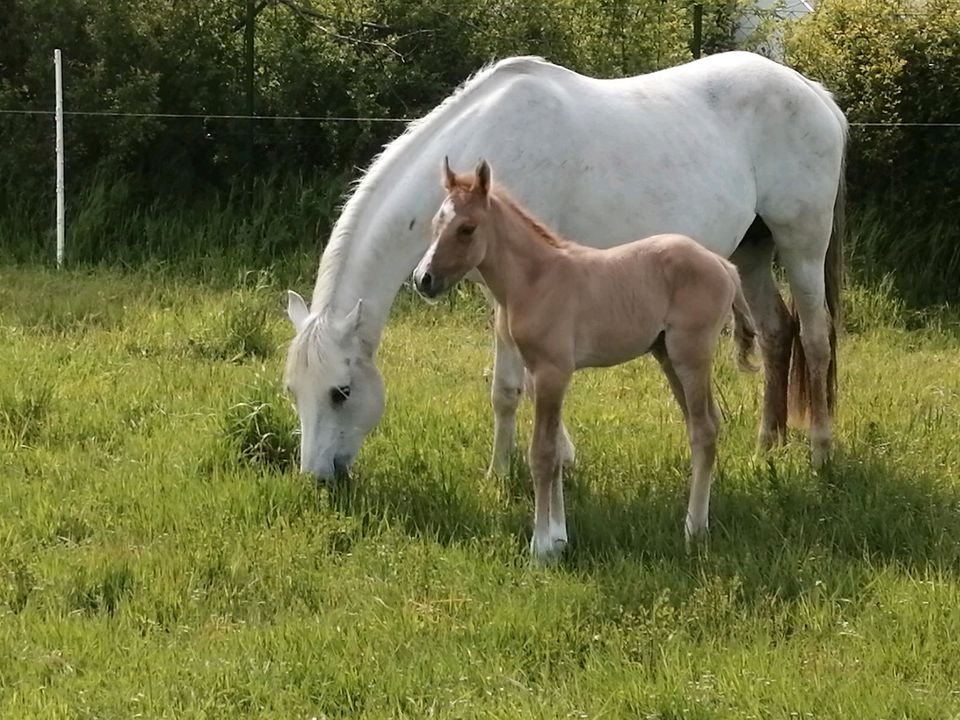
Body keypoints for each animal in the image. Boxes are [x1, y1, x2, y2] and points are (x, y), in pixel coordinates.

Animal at [284, 50, 848, 478]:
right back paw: (767, 445)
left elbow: (508, 389)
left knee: (815, 338)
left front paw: (499, 474)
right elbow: (533, 384)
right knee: (777, 333)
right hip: (750, 252)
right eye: (293, 391)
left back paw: (821, 452)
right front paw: (561, 456)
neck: (491, 145)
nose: (318, 479)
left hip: (802, 243)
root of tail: (814, 93)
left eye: (341, 392)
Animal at [412, 159, 756, 564]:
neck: (536, 280)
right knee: (703, 425)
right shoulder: (539, 374)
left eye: (467, 228)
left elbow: (542, 454)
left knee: (704, 430)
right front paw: (559, 539)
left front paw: (541, 547)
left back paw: (693, 530)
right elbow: (557, 455)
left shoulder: (553, 372)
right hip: (668, 356)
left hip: (691, 353)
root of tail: (722, 266)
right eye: (436, 223)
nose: (423, 279)